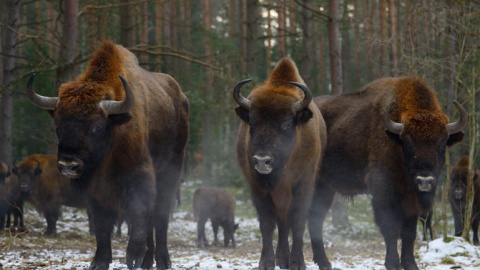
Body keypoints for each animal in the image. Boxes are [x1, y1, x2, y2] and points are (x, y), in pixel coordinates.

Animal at [25, 40, 188, 270]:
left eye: (97, 127)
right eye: (58, 125)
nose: (68, 164)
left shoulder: (139, 177)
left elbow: (139, 214)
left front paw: (133, 258)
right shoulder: (95, 191)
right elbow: (102, 225)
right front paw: (99, 262)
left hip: (171, 171)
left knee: (160, 218)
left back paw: (162, 261)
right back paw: (147, 262)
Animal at [233, 58, 326, 268]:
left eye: (287, 124)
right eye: (252, 123)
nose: (262, 160)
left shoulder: (303, 185)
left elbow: (298, 221)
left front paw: (298, 262)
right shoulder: (259, 187)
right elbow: (267, 223)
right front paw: (266, 263)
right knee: (281, 223)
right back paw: (282, 259)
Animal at [310, 76, 466, 270]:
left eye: (443, 145)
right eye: (407, 144)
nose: (424, 181)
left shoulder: (411, 202)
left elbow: (409, 233)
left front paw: (410, 264)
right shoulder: (383, 193)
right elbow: (391, 229)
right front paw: (392, 264)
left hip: (325, 187)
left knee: (314, 219)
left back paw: (324, 262)